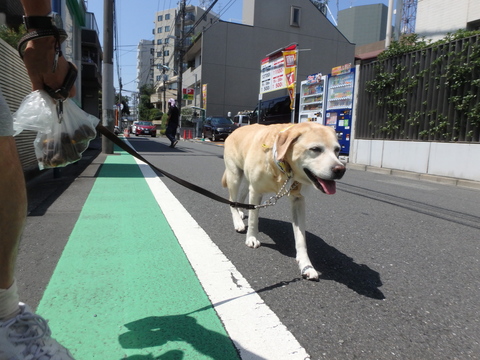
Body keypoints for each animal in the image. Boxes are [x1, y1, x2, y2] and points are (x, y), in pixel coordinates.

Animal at [221, 123, 344, 282]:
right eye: (316, 149)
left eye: (337, 150)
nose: (340, 169)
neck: (282, 167)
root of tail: (236, 129)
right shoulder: (256, 191)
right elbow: (254, 219)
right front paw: (252, 238)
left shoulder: (298, 200)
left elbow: (301, 238)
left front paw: (306, 265)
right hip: (234, 174)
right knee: (232, 200)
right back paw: (238, 221)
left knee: (242, 194)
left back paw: (241, 211)